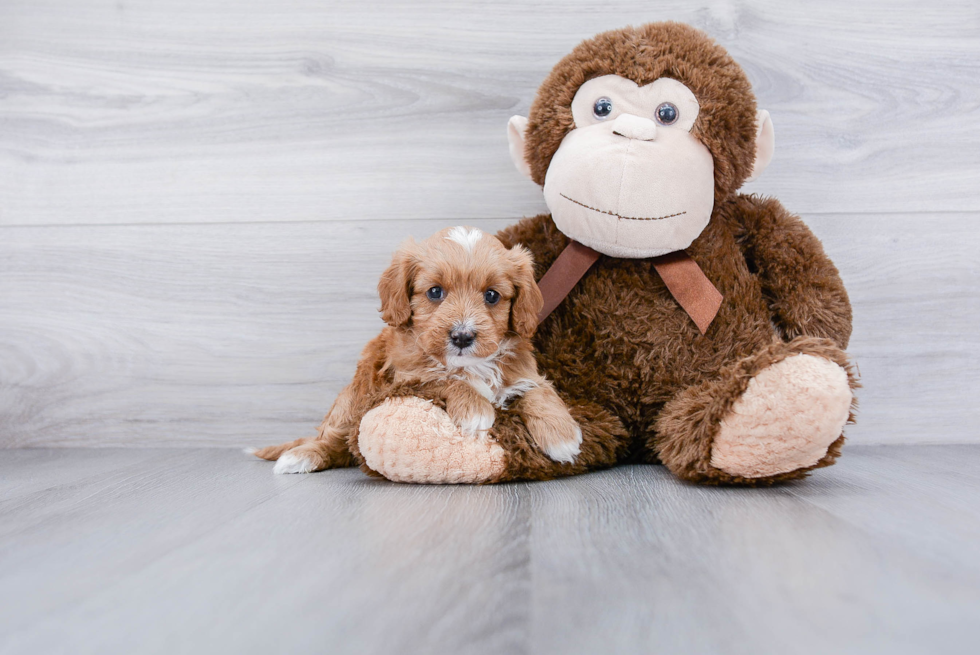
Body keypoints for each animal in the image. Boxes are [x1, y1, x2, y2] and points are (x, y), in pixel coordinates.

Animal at [249, 228, 580, 474]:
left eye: (491, 296)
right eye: (435, 292)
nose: (462, 336)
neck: (470, 364)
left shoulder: (524, 372)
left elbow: (539, 391)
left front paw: (562, 436)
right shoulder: (407, 378)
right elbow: (446, 378)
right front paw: (475, 409)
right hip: (352, 399)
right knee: (332, 438)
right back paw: (301, 456)